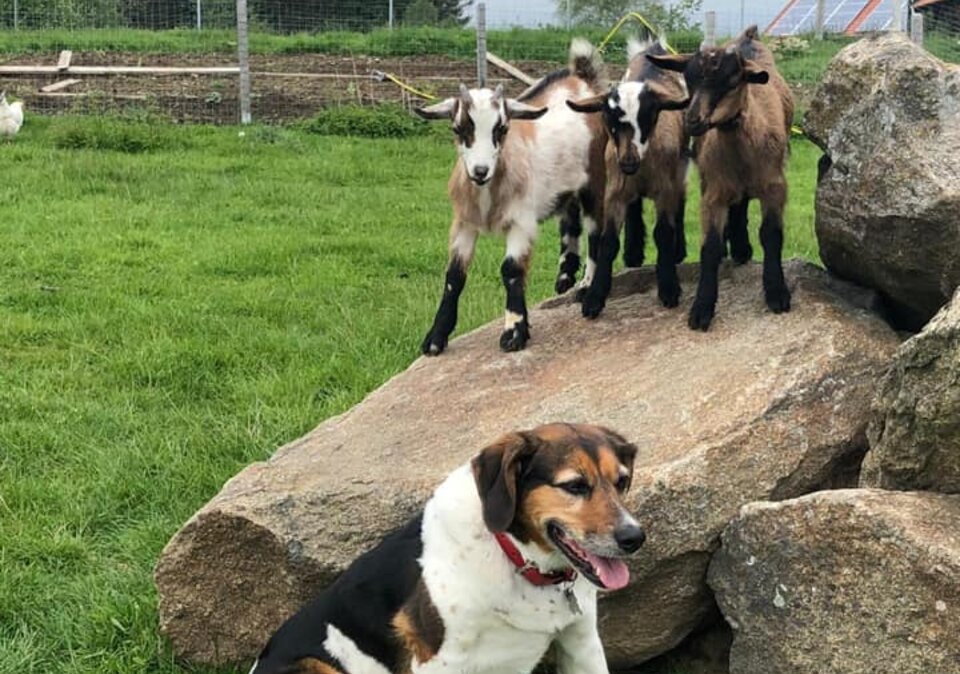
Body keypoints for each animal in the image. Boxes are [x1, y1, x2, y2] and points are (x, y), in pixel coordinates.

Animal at [253, 420, 644, 672]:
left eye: (622, 481)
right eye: (575, 485)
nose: (634, 538)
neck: (516, 558)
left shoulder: (582, 642)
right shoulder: (438, 661)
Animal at [414, 39, 604, 354]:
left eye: (501, 128)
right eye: (458, 128)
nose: (480, 171)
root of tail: (582, 79)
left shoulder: (521, 222)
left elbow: (511, 270)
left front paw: (514, 332)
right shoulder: (463, 223)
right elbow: (454, 275)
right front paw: (436, 337)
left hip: (597, 180)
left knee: (597, 233)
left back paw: (587, 286)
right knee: (570, 220)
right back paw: (565, 276)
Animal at [568, 38, 692, 316]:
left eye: (650, 116)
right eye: (608, 118)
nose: (628, 160)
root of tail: (654, 47)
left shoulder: (665, 188)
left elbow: (663, 232)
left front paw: (669, 288)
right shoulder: (614, 191)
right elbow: (608, 241)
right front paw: (594, 298)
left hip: (681, 166)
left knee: (681, 202)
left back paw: (678, 250)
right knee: (635, 206)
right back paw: (633, 253)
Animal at [644, 26, 796, 330]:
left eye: (732, 81)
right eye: (688, 79)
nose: (692, 120)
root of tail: (748, 36)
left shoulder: (775, 186)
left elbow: (771, 235)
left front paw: (777, 293)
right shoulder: (713, 191)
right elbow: (710, 248)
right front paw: (702, 308)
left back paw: (741, 248)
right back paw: (736, 246)